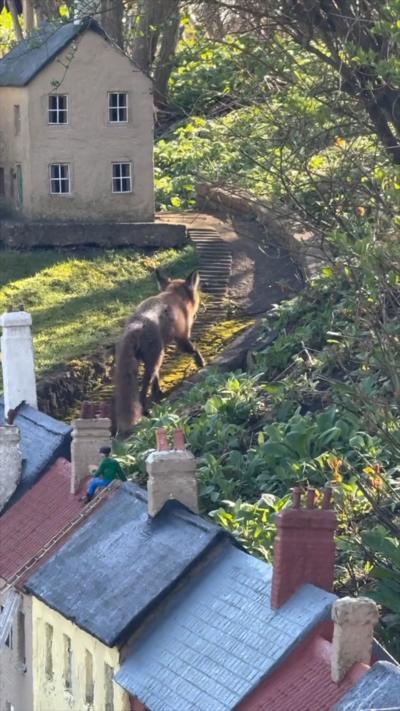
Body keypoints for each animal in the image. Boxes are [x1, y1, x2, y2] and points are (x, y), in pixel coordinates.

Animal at [115, 269, 205, 436]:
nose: (196, 313)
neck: (173, 296)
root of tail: (137, 324)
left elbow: (156, 381)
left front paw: (159, 393)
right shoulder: (182, 338)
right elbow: (194, 350)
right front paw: (201, 363)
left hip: (150, 359)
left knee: (149, 381)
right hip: (156, 357)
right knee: (143, 390)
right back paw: (146, 413)